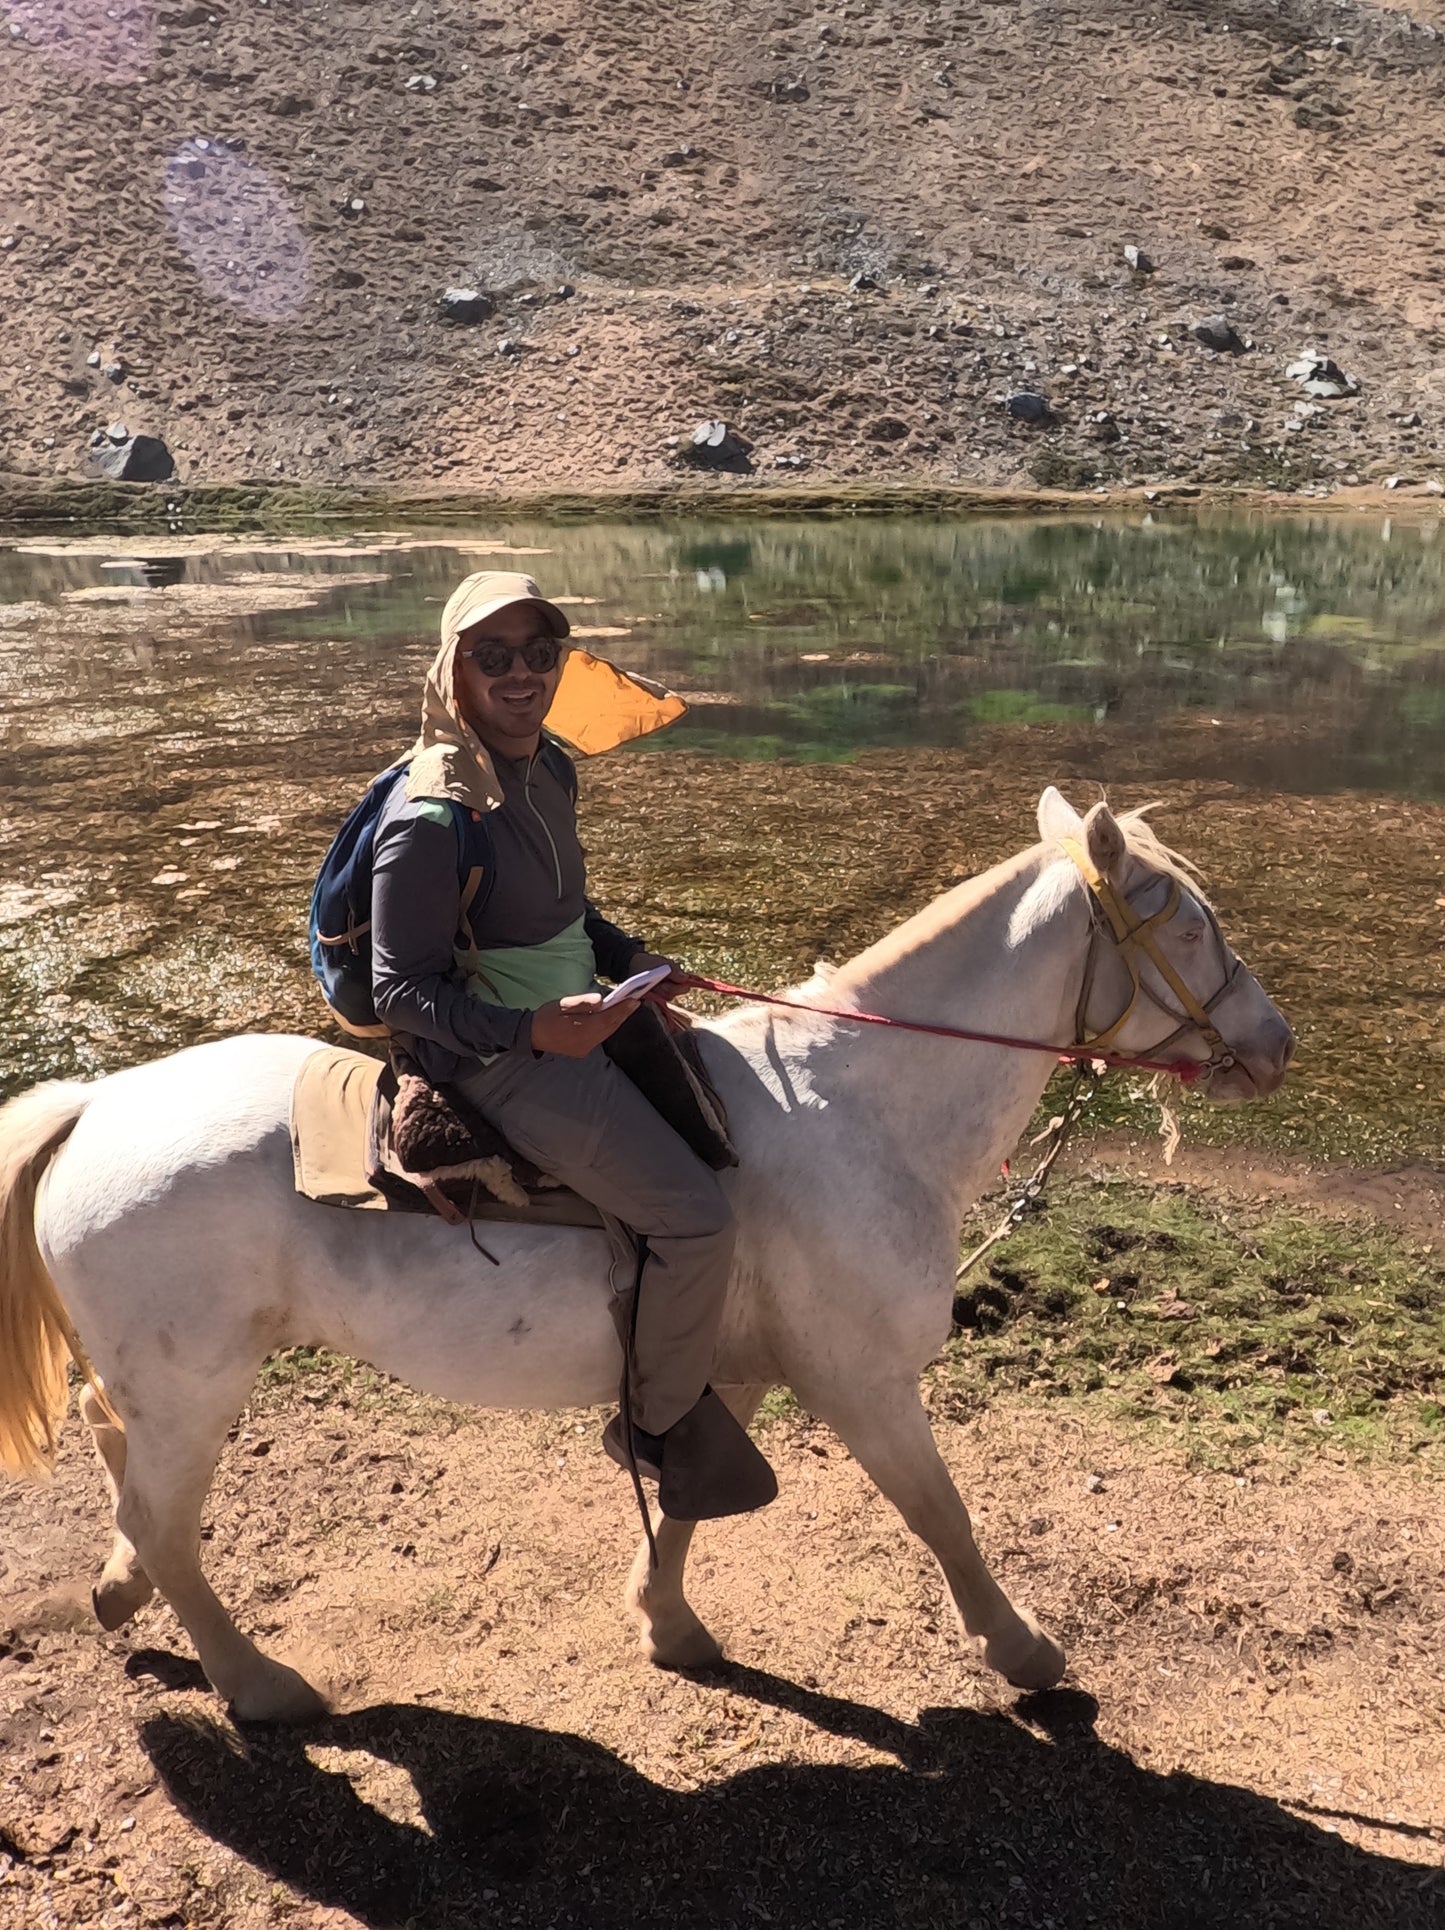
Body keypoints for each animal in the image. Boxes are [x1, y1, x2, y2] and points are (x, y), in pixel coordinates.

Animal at [0, 783, 1288, 1721]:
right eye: (1187, 924)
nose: (1274, 1042)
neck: (859, 1108)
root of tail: (96, 1102)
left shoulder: (727, 1365)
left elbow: (683, 1498)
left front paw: (668, 1626)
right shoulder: (862, 1382)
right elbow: (940, 1513)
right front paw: (1020, 1650)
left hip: (166, 1389)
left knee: (121, 1458)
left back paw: (120, 1590)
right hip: (196, 1391)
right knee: (167, 1522)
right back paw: (258, 1683)